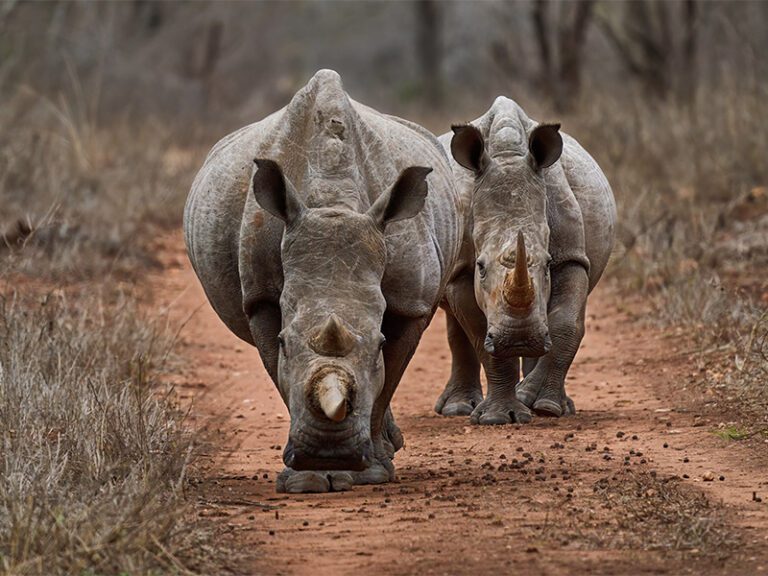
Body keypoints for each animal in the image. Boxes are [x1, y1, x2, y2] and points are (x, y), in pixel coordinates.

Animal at [184, 70, 461, 492]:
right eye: (284, 341)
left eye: (379, 343)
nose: (329, 453)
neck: (333, 203)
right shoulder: (261, 298)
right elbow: (282, 374)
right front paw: (309, 478)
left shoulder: (409, 302)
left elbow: (387, 380)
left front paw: (368, 473)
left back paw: (387, 448)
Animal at [435, 97, 616, 423]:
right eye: (481, 267)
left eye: (546, 265)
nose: (517, 339)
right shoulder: (462, 269)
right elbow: (480, 335)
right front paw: (498, 417)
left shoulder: (571, 258)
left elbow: (565, 324)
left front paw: (544, 405)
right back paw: (457, 409)